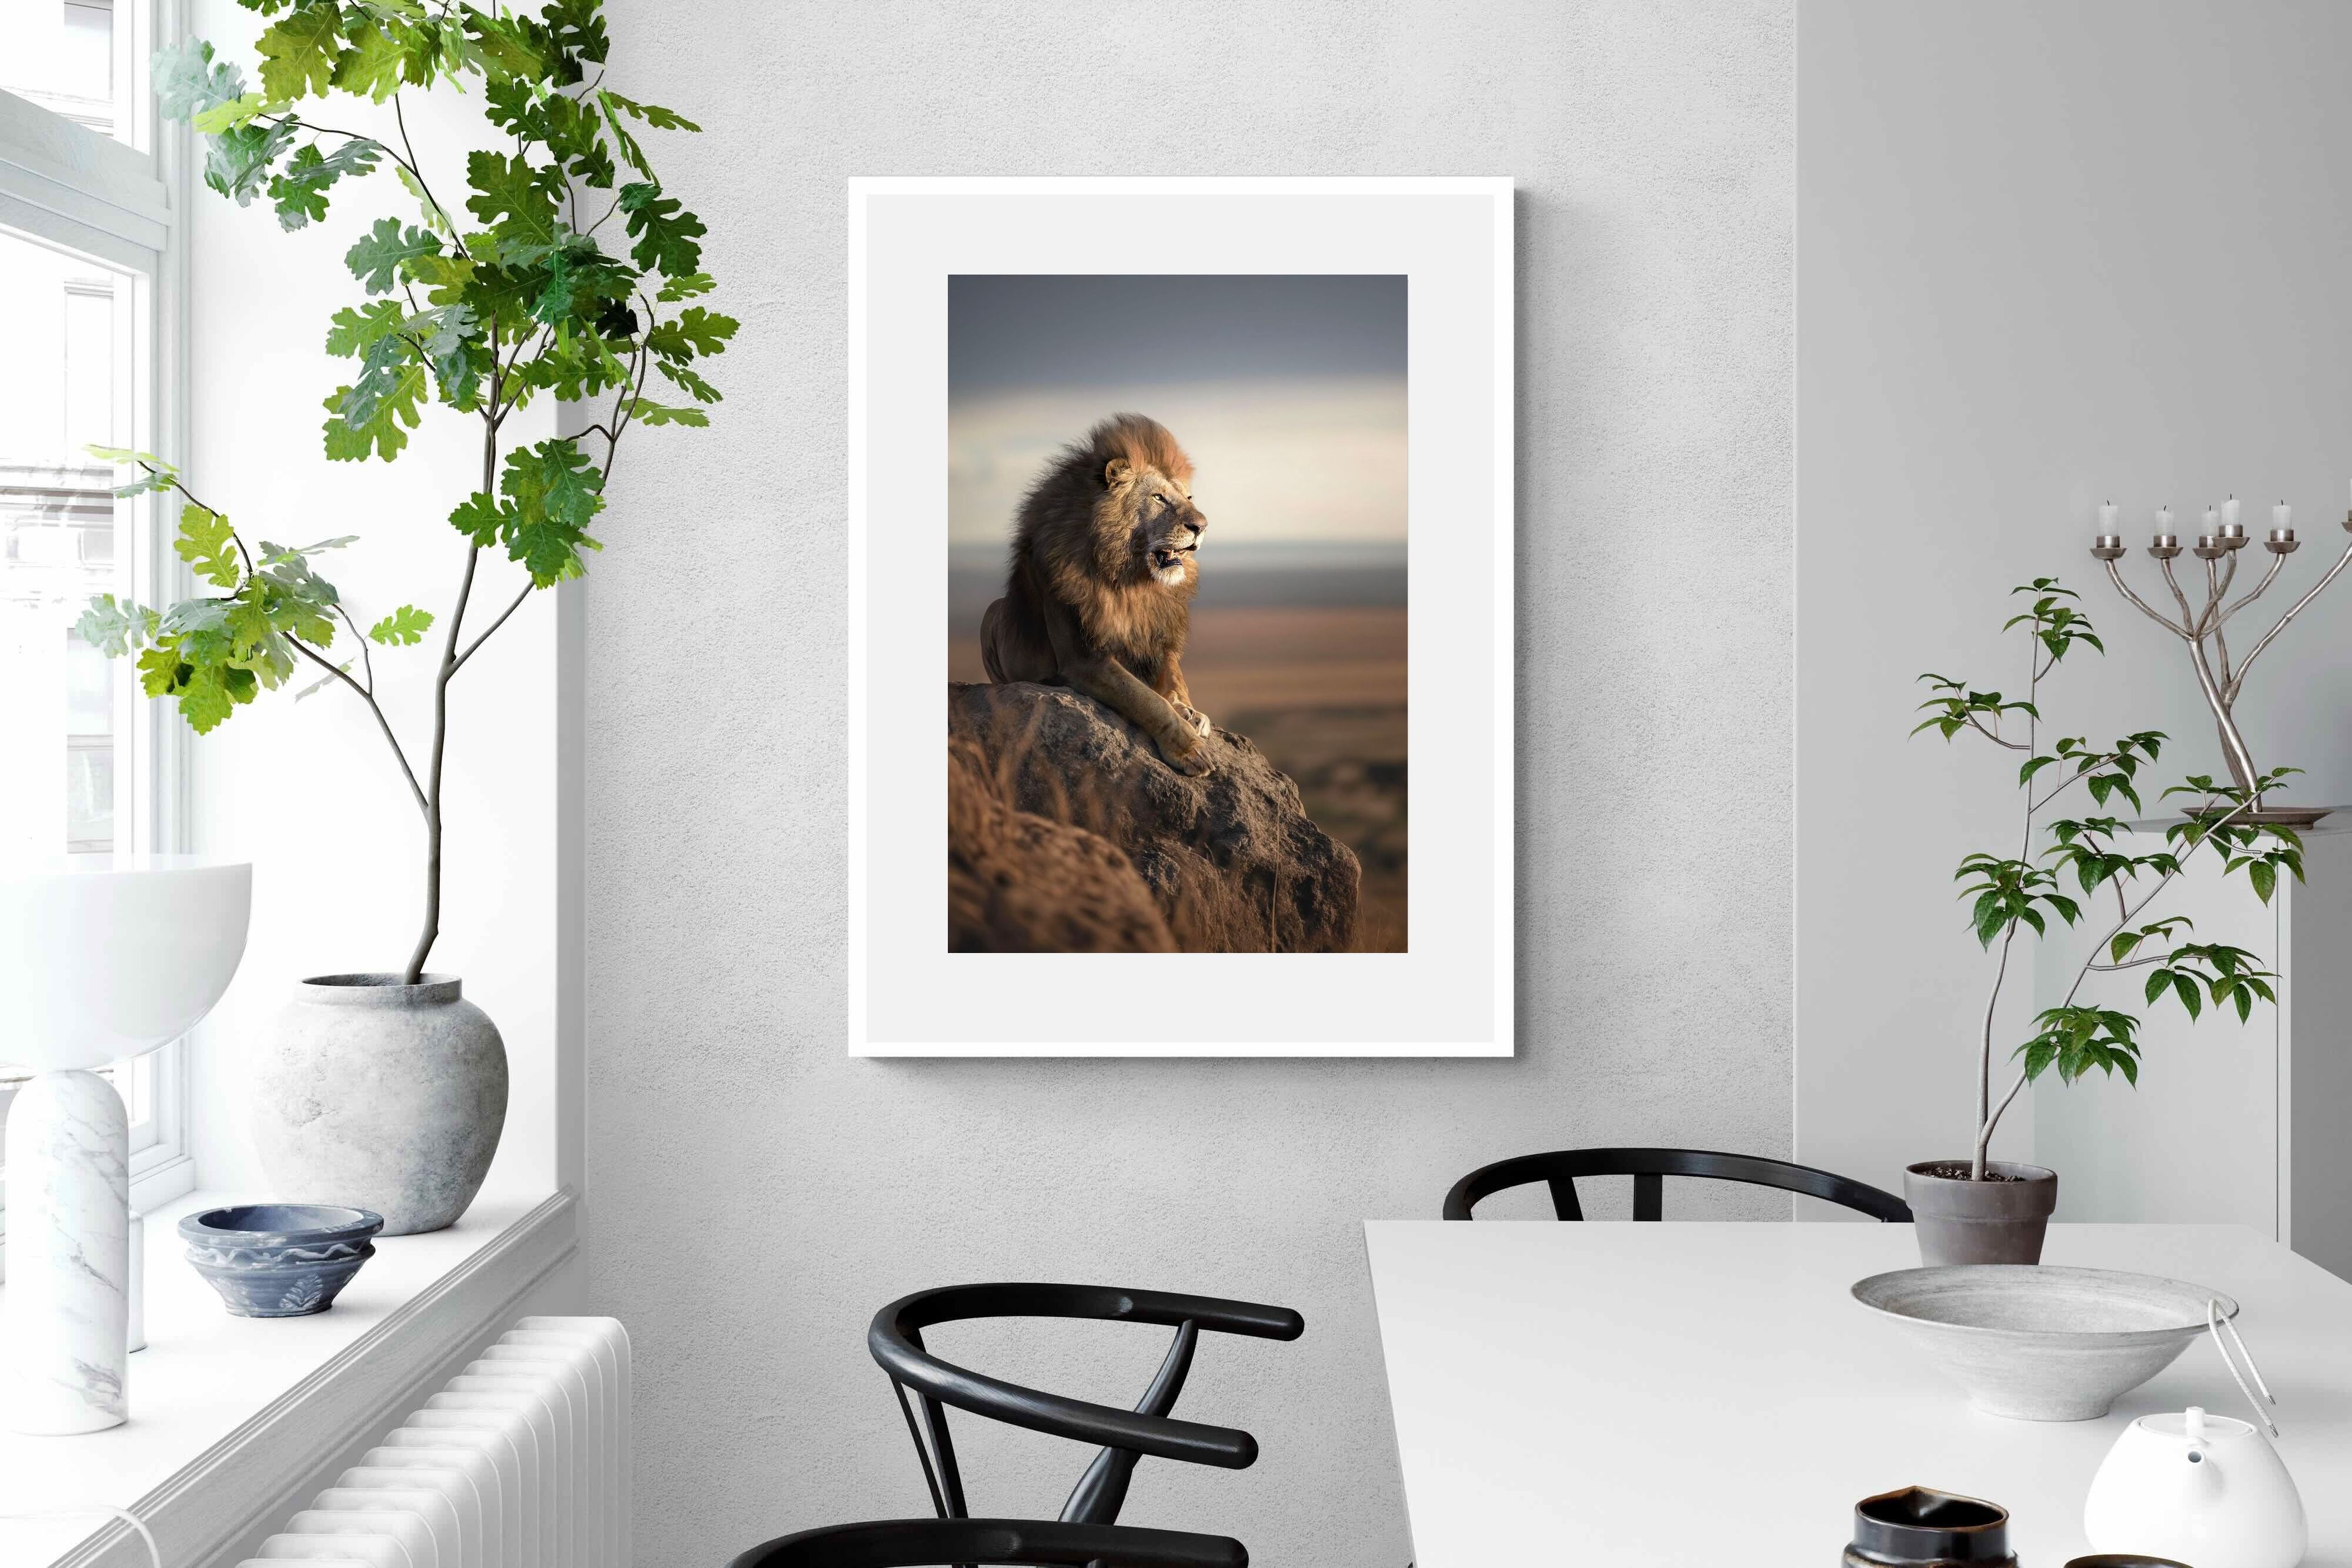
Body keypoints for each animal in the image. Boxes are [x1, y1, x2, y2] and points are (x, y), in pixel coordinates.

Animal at [979, 413, 1215, 775]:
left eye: (1188, 499)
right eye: (1158, 498)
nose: (1201, 526)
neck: (1132, 579)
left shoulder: (1157, 635)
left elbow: (1174, 679)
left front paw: (1190, 711)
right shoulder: (1084, 659)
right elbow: (1146, 699)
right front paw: (1189, 748)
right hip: (991, 614)